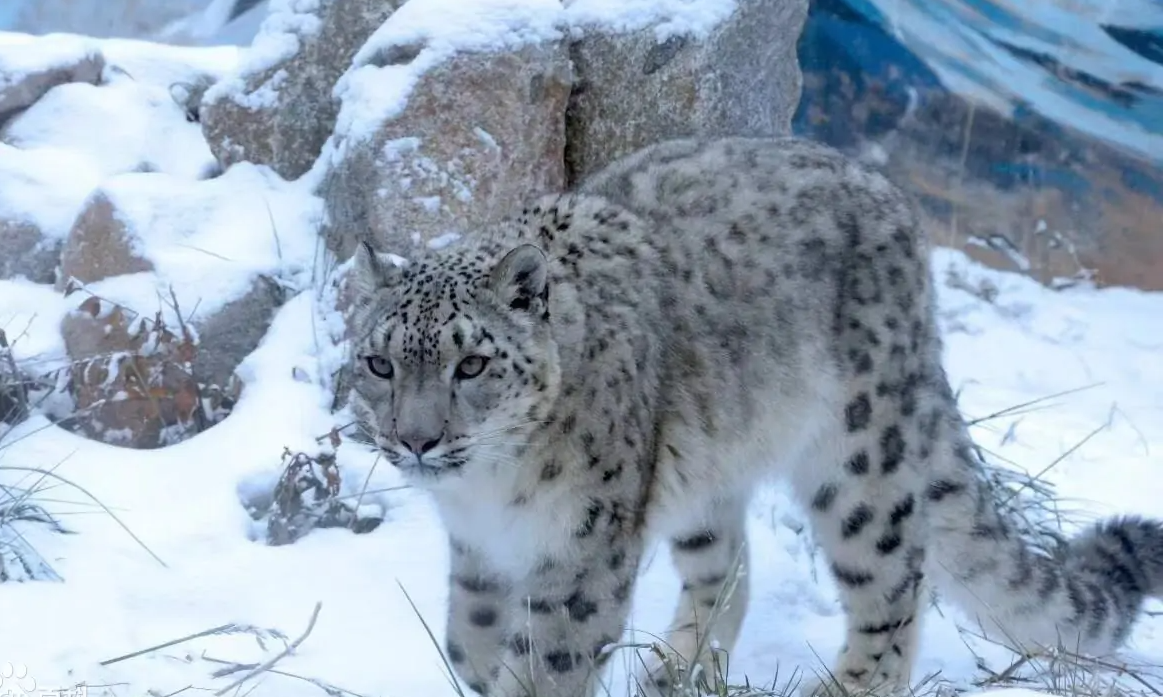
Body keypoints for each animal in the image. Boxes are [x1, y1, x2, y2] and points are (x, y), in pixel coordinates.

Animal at [346, 137, 1163, 697]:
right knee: (730, 563)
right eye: (379, 364)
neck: (488, 490)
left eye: (472, 365)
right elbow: (470, 641)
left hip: (858, 456)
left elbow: (549, 661)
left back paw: (848, 684)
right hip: (708, 468)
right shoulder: (479, 551)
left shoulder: (583, 551)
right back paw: (676, 668)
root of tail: (897, 206)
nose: (415, 439)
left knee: (896, 575)